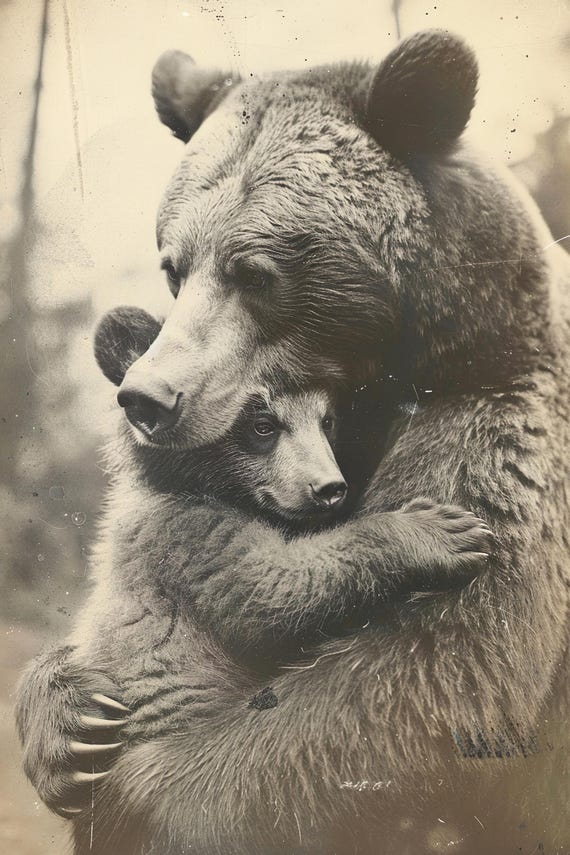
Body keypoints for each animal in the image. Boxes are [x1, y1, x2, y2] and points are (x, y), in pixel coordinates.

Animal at [16, 27, 570, 855]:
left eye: (254, 271)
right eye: (173, 266)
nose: (149, 396)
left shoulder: (495, 426)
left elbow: (423, 675)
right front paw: (68, 722)